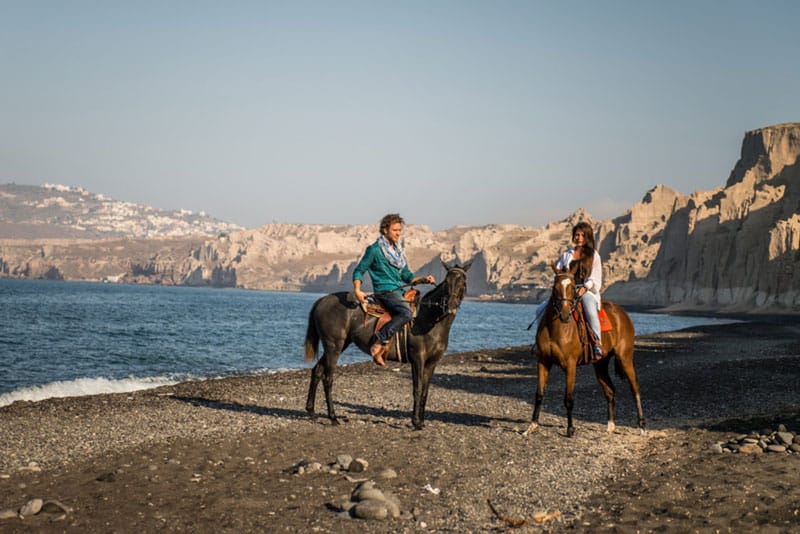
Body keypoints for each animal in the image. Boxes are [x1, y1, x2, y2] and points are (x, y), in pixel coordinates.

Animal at [304, 262, 468, 434]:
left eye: (463, 282)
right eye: (447, 283)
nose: (450, 306)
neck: (429, 320)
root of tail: (322, 300)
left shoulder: (432, 362)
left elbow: (425, 391)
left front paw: (421, 422)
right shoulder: (418, 359)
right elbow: (417, 389)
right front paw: (416, 422)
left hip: (338, 346)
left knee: (317, 371)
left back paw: (312, 412)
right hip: (333, 346)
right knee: (327, 378)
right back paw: (333, 418)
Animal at [524, 264, 644, 440]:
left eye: (572, 287)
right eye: (555, 287)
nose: (565, 314)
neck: (557, 329)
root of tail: (622, 313)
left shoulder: (570, 365)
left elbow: (569, 398)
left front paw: (570, 429)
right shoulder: (543, 362)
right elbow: (539, 394)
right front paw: (532, 426)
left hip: (625, 358)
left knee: (634, 387)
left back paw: (642, 425)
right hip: (600, 364)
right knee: (610, 391)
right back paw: (610, 426)